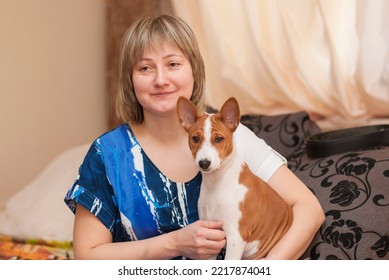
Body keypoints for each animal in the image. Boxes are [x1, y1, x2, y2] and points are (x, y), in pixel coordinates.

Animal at [176, 97, 292, 260]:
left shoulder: (236, 236)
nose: (204, 163)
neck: (216, 184)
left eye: (219, 139)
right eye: (195, 138)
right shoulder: (211, 233)